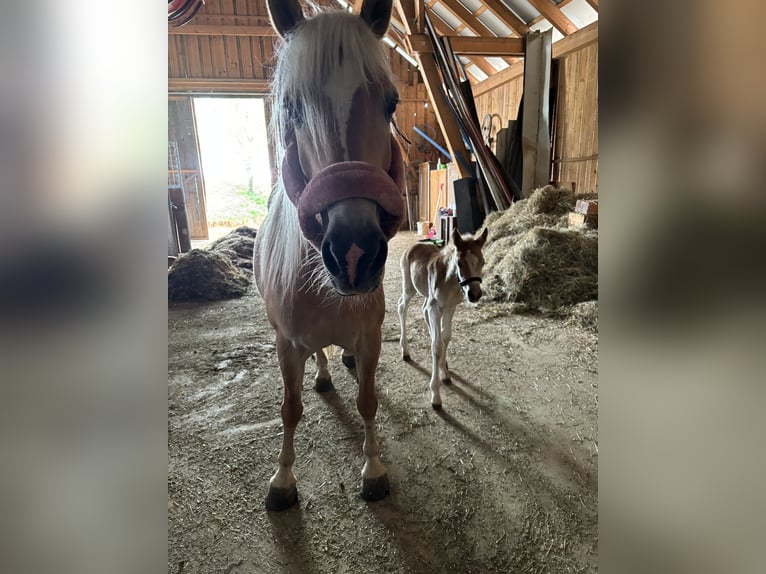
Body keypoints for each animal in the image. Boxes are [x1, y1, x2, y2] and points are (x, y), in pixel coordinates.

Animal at [254, 0, 408, 512]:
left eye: (391, 103)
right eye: (291, 107)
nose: (355, 252)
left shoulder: (371, 337)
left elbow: (368, 401)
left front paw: (374, 469)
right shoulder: (286, 345)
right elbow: (290, 408)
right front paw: (283, 479)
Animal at [400, 225, 488, 410]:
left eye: (483, 262)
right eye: (460, 263)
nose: (474, 294)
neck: (451, 282)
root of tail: (412, 247)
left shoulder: (450, 307)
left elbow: (445, 337)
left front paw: (444, 370)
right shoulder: (436, 307)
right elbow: (437, 346)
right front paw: (436, 395)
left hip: (427, 296)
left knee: (424, 311)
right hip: (409, 288)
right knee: (402, 307)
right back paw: (405, 351)